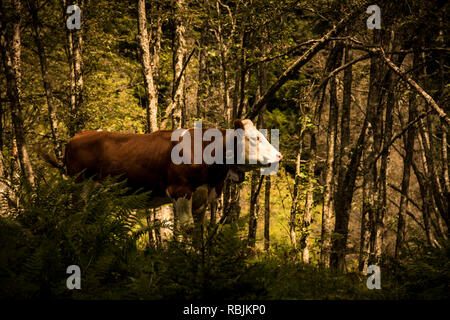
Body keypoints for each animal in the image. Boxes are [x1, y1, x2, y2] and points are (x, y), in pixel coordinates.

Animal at [51, 119, 282, 234]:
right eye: (254, 138)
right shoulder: (180, 191)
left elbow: (198, 232)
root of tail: (76, 137)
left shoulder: (201, 197)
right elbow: (187, 229)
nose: (279, 155)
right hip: (80, 188)